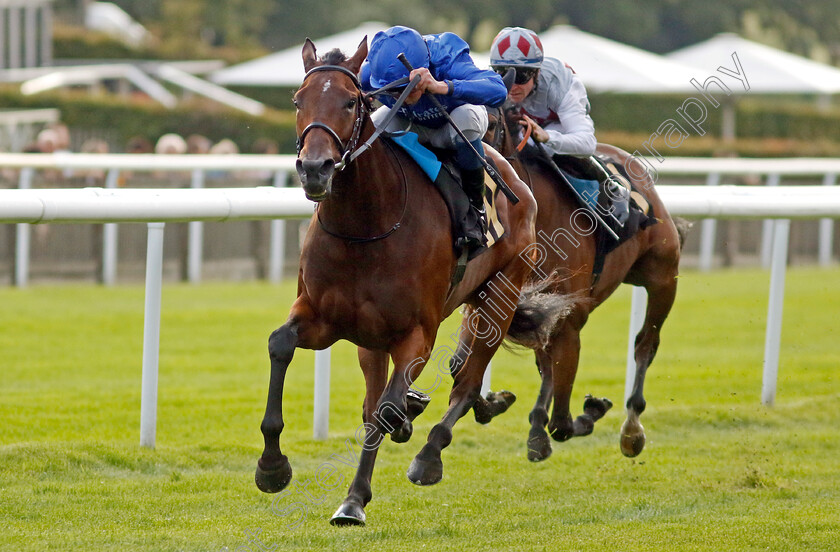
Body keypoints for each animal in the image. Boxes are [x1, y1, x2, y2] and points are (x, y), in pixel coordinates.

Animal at [253, 40, 560, 528]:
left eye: (350, 101)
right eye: (298, 101)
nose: (315, 169)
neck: (366, 225)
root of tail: (510, 173)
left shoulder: (417, 334)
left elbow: (387, 408)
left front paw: (354, 498)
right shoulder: (322, 318)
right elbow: (281, 344)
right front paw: (272, 467)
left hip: (500, 296)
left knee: (466, 381)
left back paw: (429, 455)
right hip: (372, 340)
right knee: (384, 398)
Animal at [480, 103, 688, 462]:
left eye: (491, 122)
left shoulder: (570, 316)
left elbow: (562, 424)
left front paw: (591, 410)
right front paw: (498, 405)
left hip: (663, 278)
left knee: (646, 343)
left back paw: (632, 428)